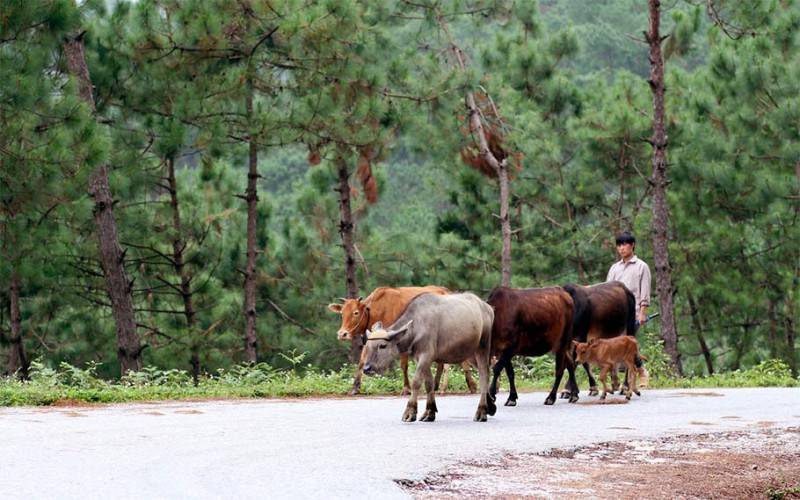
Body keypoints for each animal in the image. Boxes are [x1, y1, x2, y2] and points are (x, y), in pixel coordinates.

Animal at [324, 288, 476, 396]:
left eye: (355, 312)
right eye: (342, 313)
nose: (342, 334)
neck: (377, 310)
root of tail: (446, 290)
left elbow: (404, 366)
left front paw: (406, 389)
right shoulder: (372, 339)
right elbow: (362, 361)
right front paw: (355, 388)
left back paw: (470, 385)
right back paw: (438, 386)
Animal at [362, 292, 494, 422]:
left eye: (382, 346)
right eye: (368, 345)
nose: (367, 368)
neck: (416, 327)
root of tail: (487, 308)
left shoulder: (426, 356)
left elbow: (416, 382)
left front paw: (410, 412)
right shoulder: (420, 359)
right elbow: (429, 383)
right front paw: (429, 412)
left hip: (483, 346)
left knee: (484, 374)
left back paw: (482, 411)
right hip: (470, 353)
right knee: (486, 371)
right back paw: (490, 405)